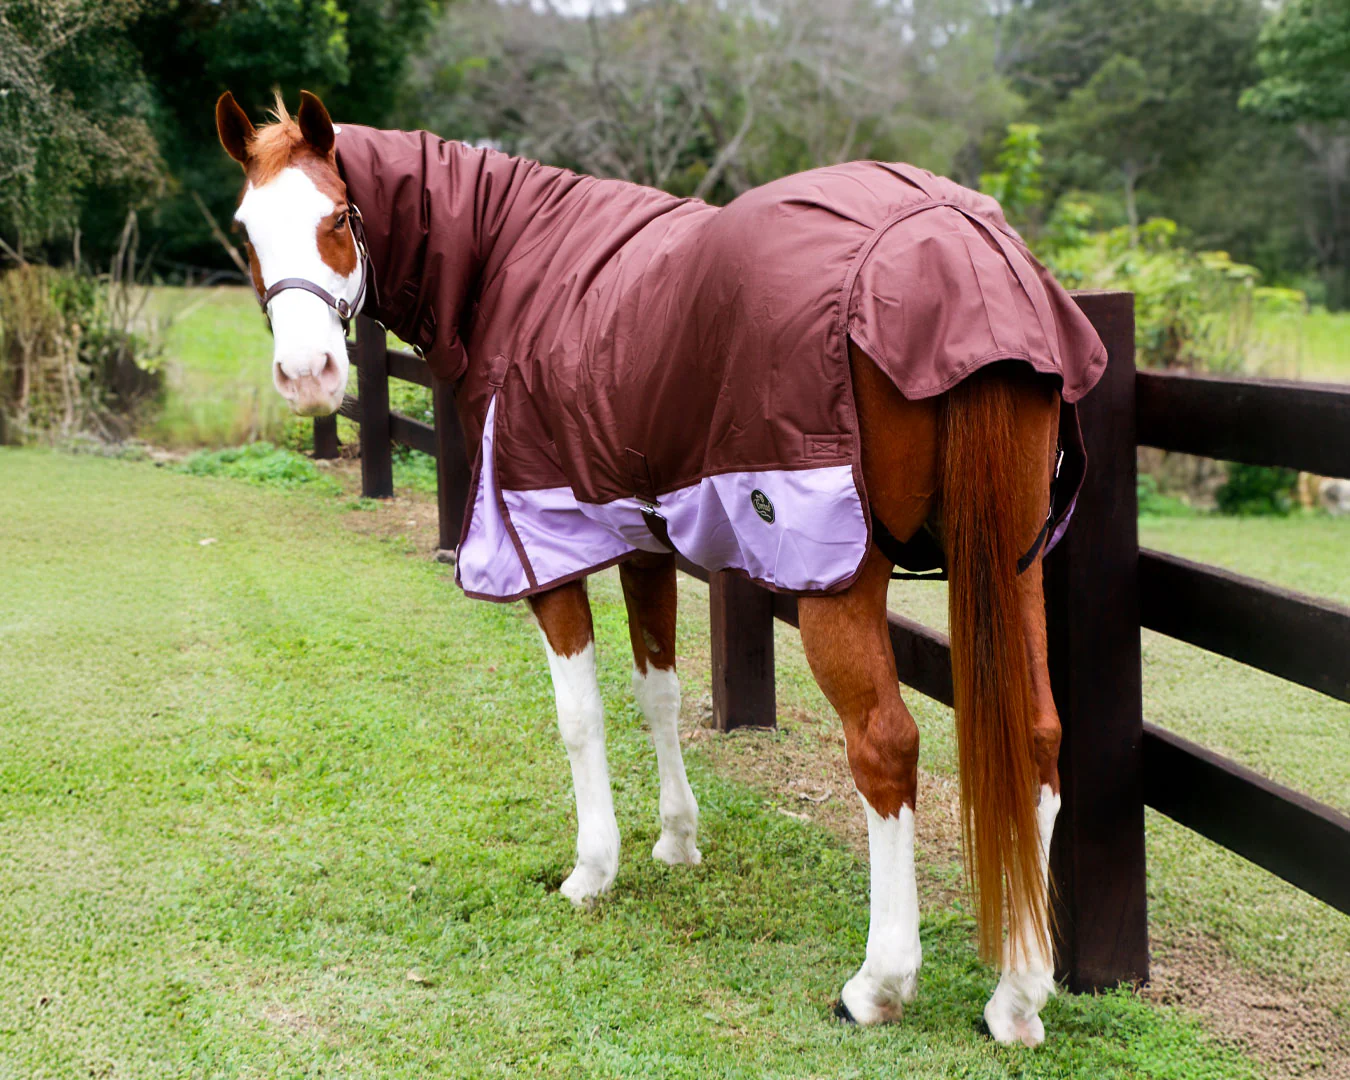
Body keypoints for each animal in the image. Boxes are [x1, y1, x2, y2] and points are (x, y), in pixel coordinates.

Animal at [215, 88, 1107, 1047]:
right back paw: (1018, 995)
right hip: (1014, 562)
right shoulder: (643, 539)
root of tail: (955, 244)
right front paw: (678, 840)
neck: (514, 263)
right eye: (245, 230)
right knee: (1038, 738)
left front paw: (591, 870)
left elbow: (580, 716)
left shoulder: (547, 551)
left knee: (886, 747)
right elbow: (660, 693)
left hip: (840, 577)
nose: (308, 374)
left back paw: (879, 982)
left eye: (340, 217)